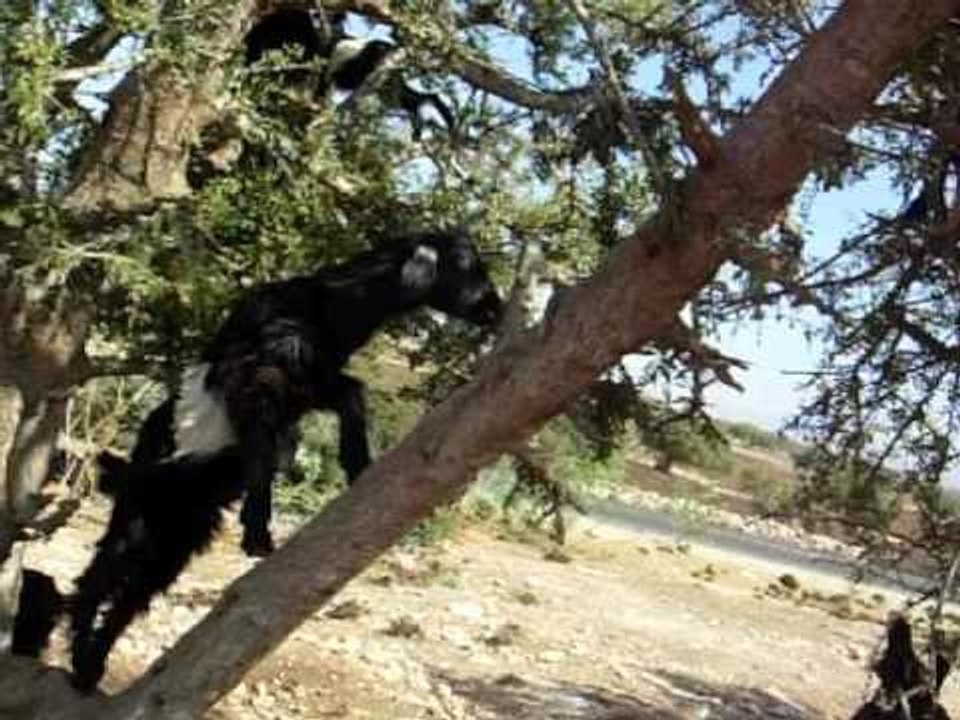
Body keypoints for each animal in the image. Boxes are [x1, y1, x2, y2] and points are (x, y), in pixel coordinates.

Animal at [131, 230, 501, 556]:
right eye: (464, 262)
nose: (495, 307)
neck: (328, 307)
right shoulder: (259, 380)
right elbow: (262, 453)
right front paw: (257, 534)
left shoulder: (310, 391)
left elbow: (350, 397)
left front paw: (359, 470)